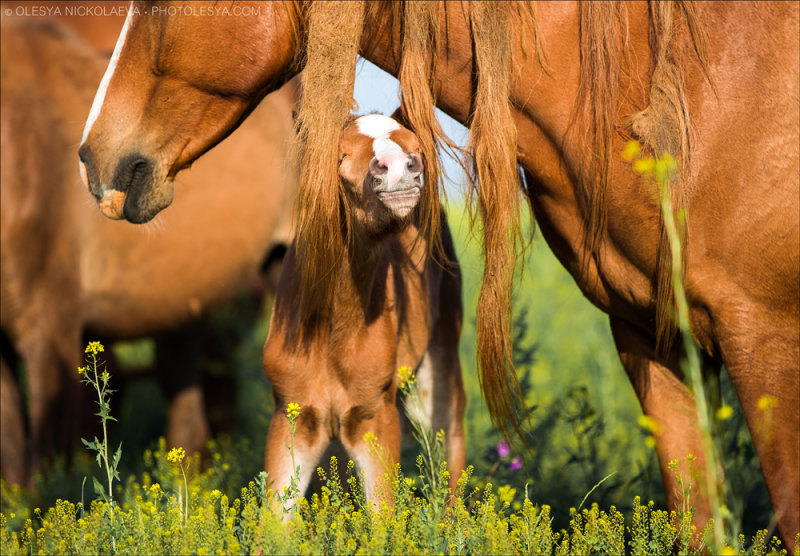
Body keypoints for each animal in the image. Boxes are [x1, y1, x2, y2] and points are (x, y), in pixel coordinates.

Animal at [264, 113, 462, 504]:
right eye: (341, 155)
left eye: (416, 148)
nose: (400, 167)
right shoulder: (294, 413)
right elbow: (273, 516)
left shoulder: (375, 415)